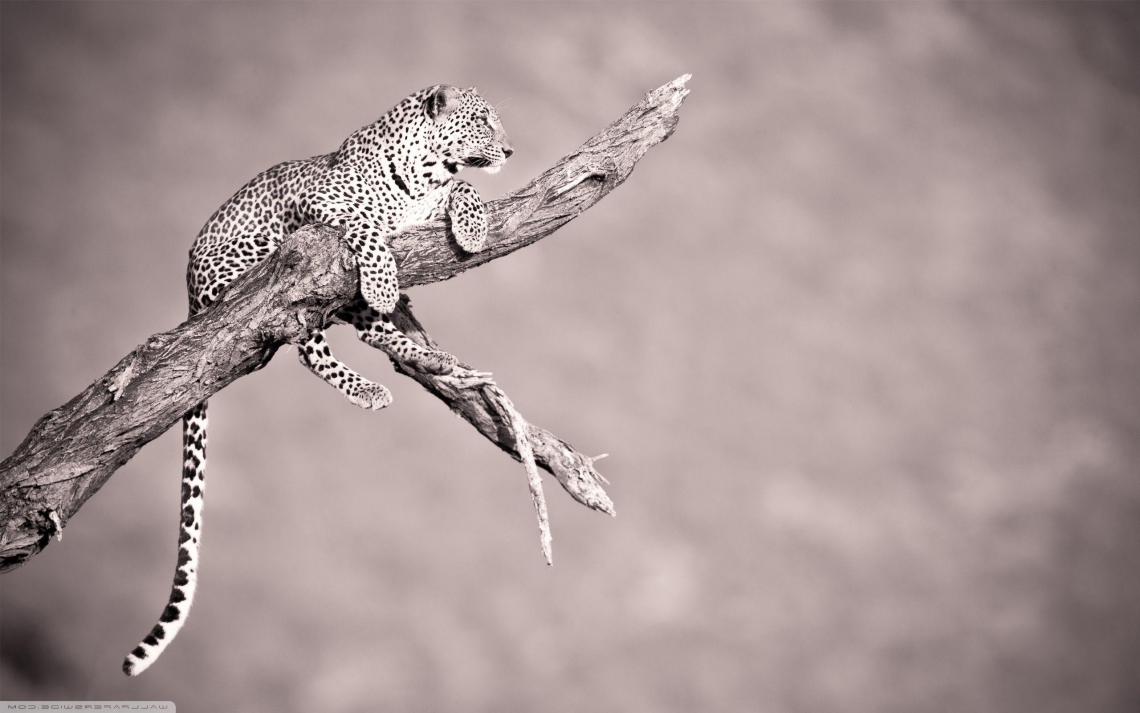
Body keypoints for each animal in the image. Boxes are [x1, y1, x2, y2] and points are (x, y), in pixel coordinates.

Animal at [122, 84, 512, 676]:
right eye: (482, 121)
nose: (510, 150)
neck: (426, 172)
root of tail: (189, 294)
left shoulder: (434, 198)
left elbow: (464, 188)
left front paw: (470, 228)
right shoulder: (323, 204)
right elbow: (368, 226)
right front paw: (383, 277)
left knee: (369, 333)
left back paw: (435, 360)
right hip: (275, 271)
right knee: (308, 344)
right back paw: (374, 379)